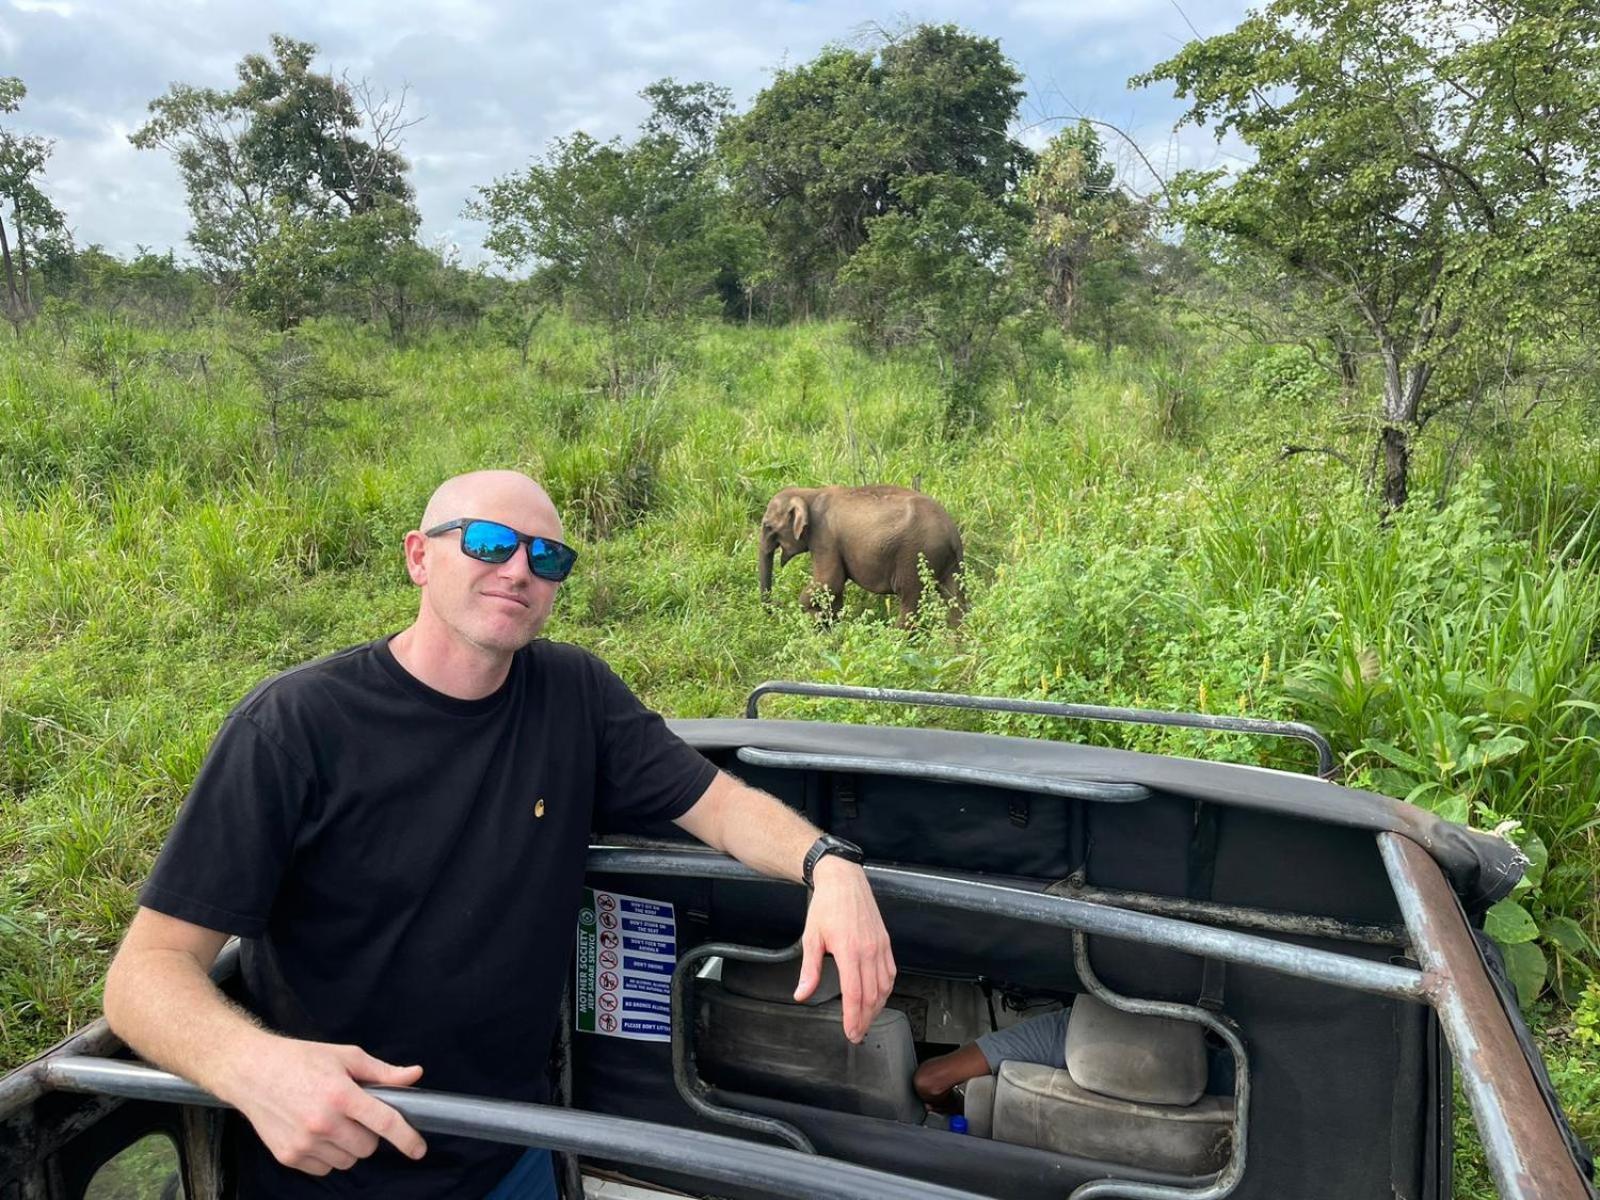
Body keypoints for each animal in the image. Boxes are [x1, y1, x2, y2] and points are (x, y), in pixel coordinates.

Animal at [758, 483, 966, 624]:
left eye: (767, 526)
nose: (775, 606)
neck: (809, 492)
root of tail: (952, 532)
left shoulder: (825, 537)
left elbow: (829, 582)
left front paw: (806, 613)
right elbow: (834, 590)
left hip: (915, 556)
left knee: (910, 600)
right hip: (950, 562)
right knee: (955, 598)